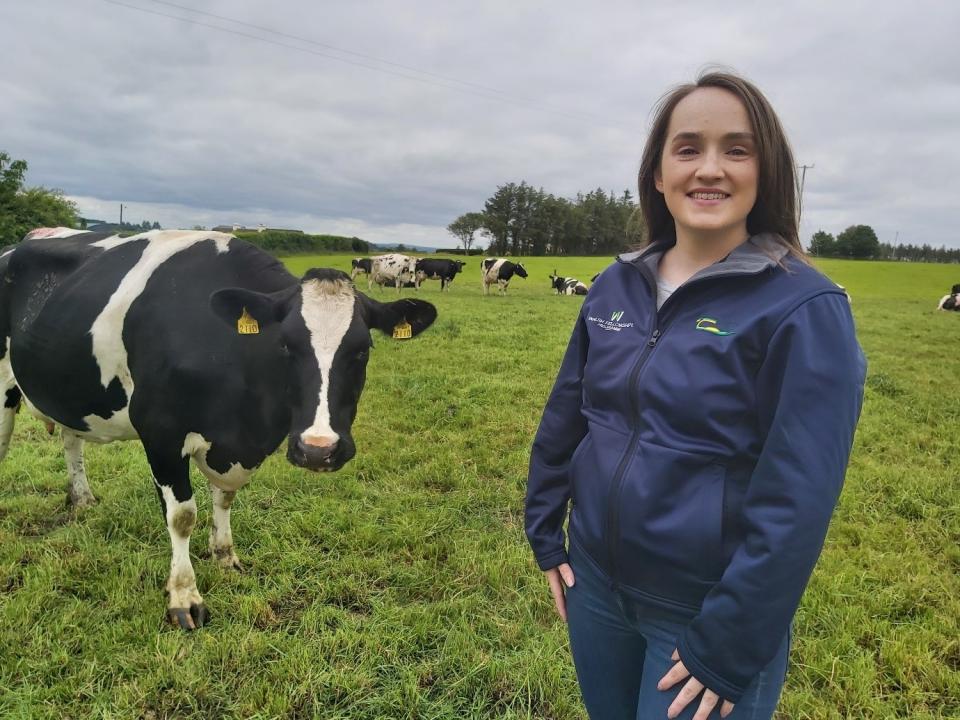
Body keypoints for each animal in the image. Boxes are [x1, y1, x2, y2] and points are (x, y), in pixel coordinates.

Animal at [0, 226, 436, 632]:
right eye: (285, 345)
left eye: (362, 349)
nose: (318, 449)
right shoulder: (161, 433)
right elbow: (182, 516)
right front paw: (184, 596)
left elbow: (225, 499)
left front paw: (225, 557)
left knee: (71, 440)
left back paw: (82, 498)